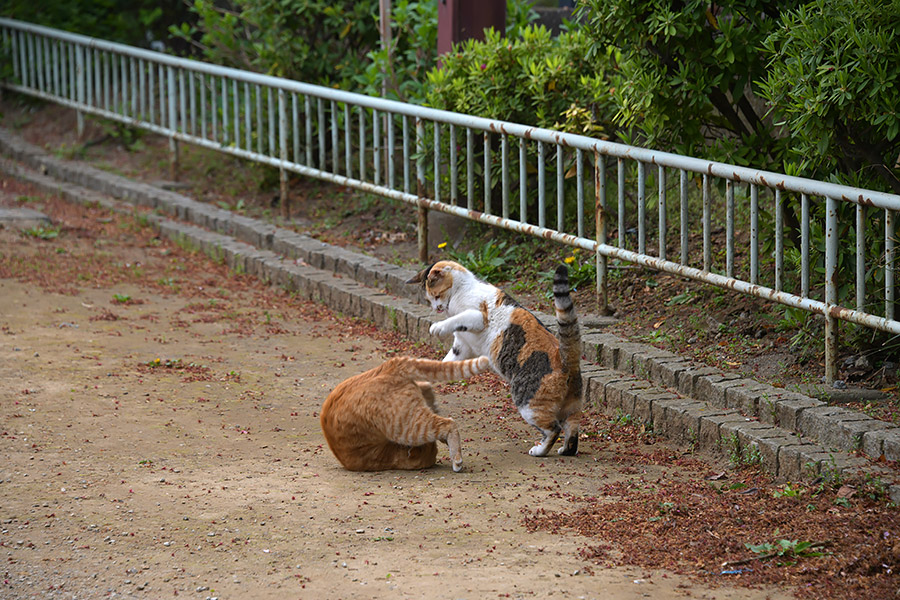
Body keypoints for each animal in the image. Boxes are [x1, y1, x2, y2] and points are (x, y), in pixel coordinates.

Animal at [408, 262, 584, 454]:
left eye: (436, 295)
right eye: (431, 299)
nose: (436, 308)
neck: (463, 289)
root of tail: (567, 358)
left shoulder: (477, 317)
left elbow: (459, 318)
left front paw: (438, 327)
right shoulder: (462, 347)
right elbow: (446, 363)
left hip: (528, 403)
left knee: (553, 429)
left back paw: (539, 451)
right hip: (571, 406)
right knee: (572, 429)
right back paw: (566, 450)